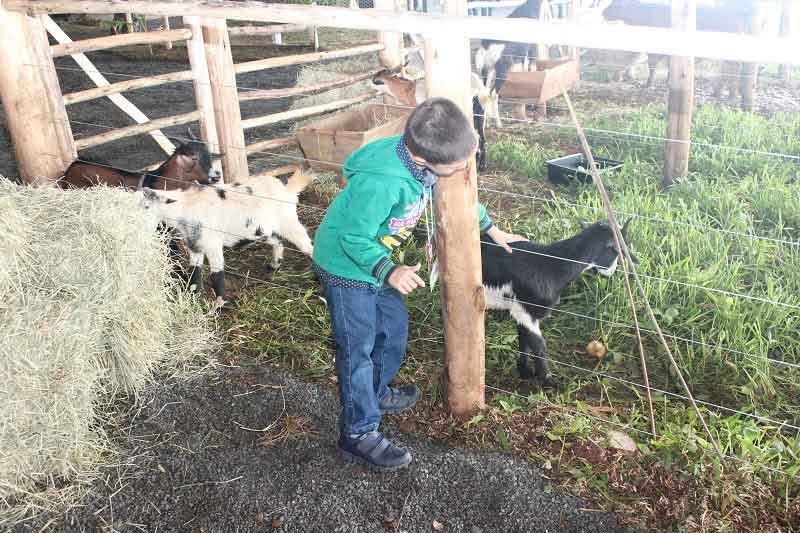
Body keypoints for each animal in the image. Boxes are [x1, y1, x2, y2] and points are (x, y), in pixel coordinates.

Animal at [137, 167, 315, 305]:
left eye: (147, 206)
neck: (186, 207)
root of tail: (288, 190)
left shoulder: (212, 245)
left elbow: (216, 275)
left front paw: (220, 305)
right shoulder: (195, 246)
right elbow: (194, 273)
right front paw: (192, 297)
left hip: (288, 221)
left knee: (307, 245)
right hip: (263, 229)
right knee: (278, 241)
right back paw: (273, 266)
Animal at [481, 219, 634, 388]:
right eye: (619, 249)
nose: (612, 272)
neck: (551, 265)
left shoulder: (522, 310)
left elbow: (524, 341)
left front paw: (525, 372)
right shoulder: (528, 311)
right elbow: (539, 347)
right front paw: (549, 382)